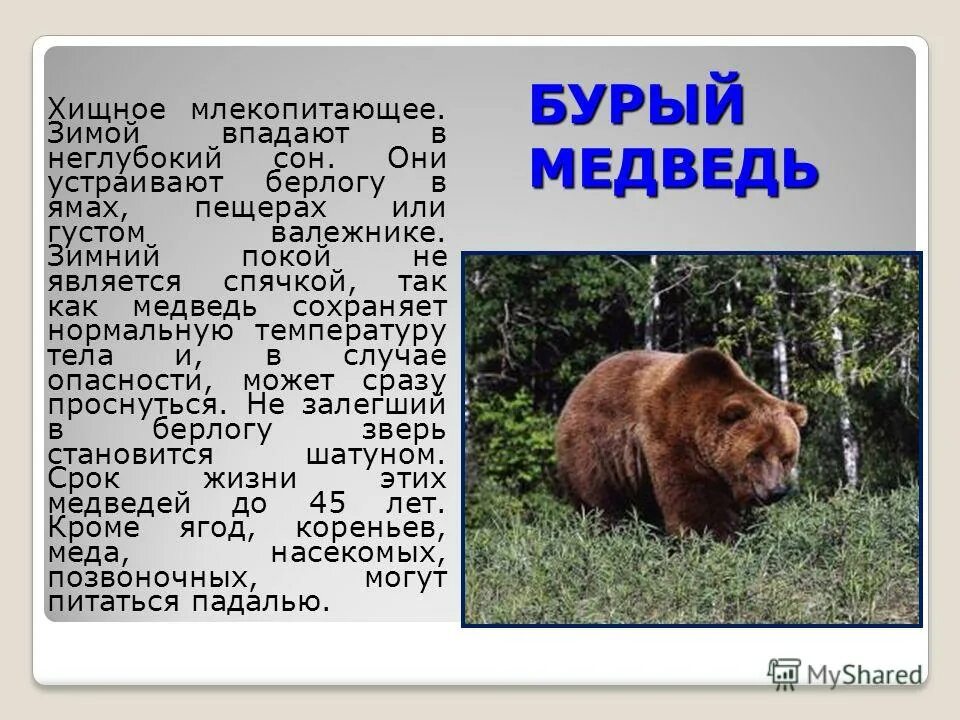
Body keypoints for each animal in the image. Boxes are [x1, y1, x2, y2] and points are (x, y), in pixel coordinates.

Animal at [554, 348, 807, 539]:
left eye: (786, 456)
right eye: (756, 454)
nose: (776, 490)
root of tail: (579, 387)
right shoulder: (671, 437)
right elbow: (694, 501)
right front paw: (715, 539)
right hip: (595, 450)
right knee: (600, 500)